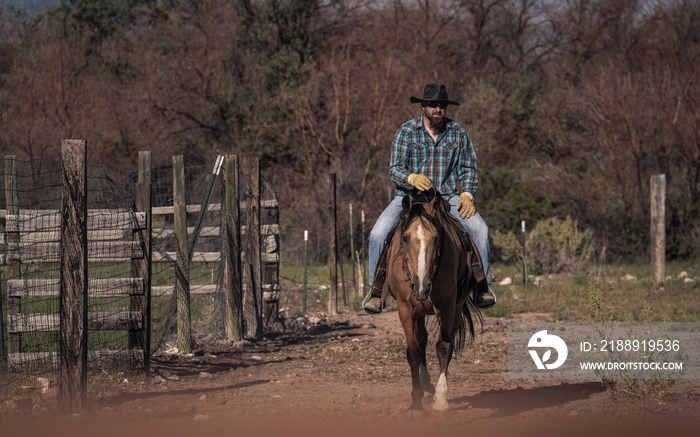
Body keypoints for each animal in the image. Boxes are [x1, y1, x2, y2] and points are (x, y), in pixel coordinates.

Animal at [382, 188, 482, 408]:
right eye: (404, 238)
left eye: (436, 238)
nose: (421, 287)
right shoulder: (405, 308)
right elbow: (413, 351)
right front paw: (416, 402)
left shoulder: (447, 306)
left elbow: (444, 347)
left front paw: (440, 399)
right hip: (417, 311)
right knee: (422, 340)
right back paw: (426, 384)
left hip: (456, 308)